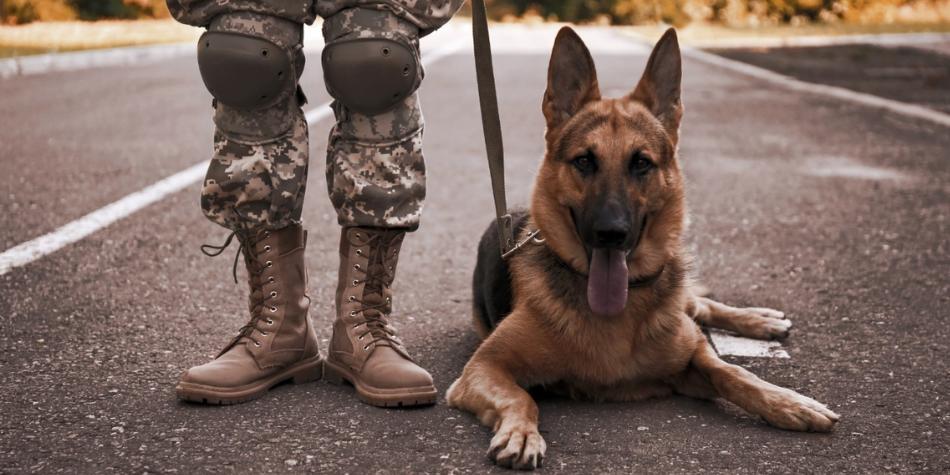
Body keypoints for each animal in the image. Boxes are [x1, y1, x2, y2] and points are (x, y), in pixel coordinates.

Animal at [448, 27, 840, 470]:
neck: (618, 313)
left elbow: (734, 373)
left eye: (641, 163)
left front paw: (788, 402)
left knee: (700, 304)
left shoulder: (694, 357)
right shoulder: (484, 367)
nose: (611, 233)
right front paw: (521, 433)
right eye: (584, 161)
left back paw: (759, 319)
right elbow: (522, 397)